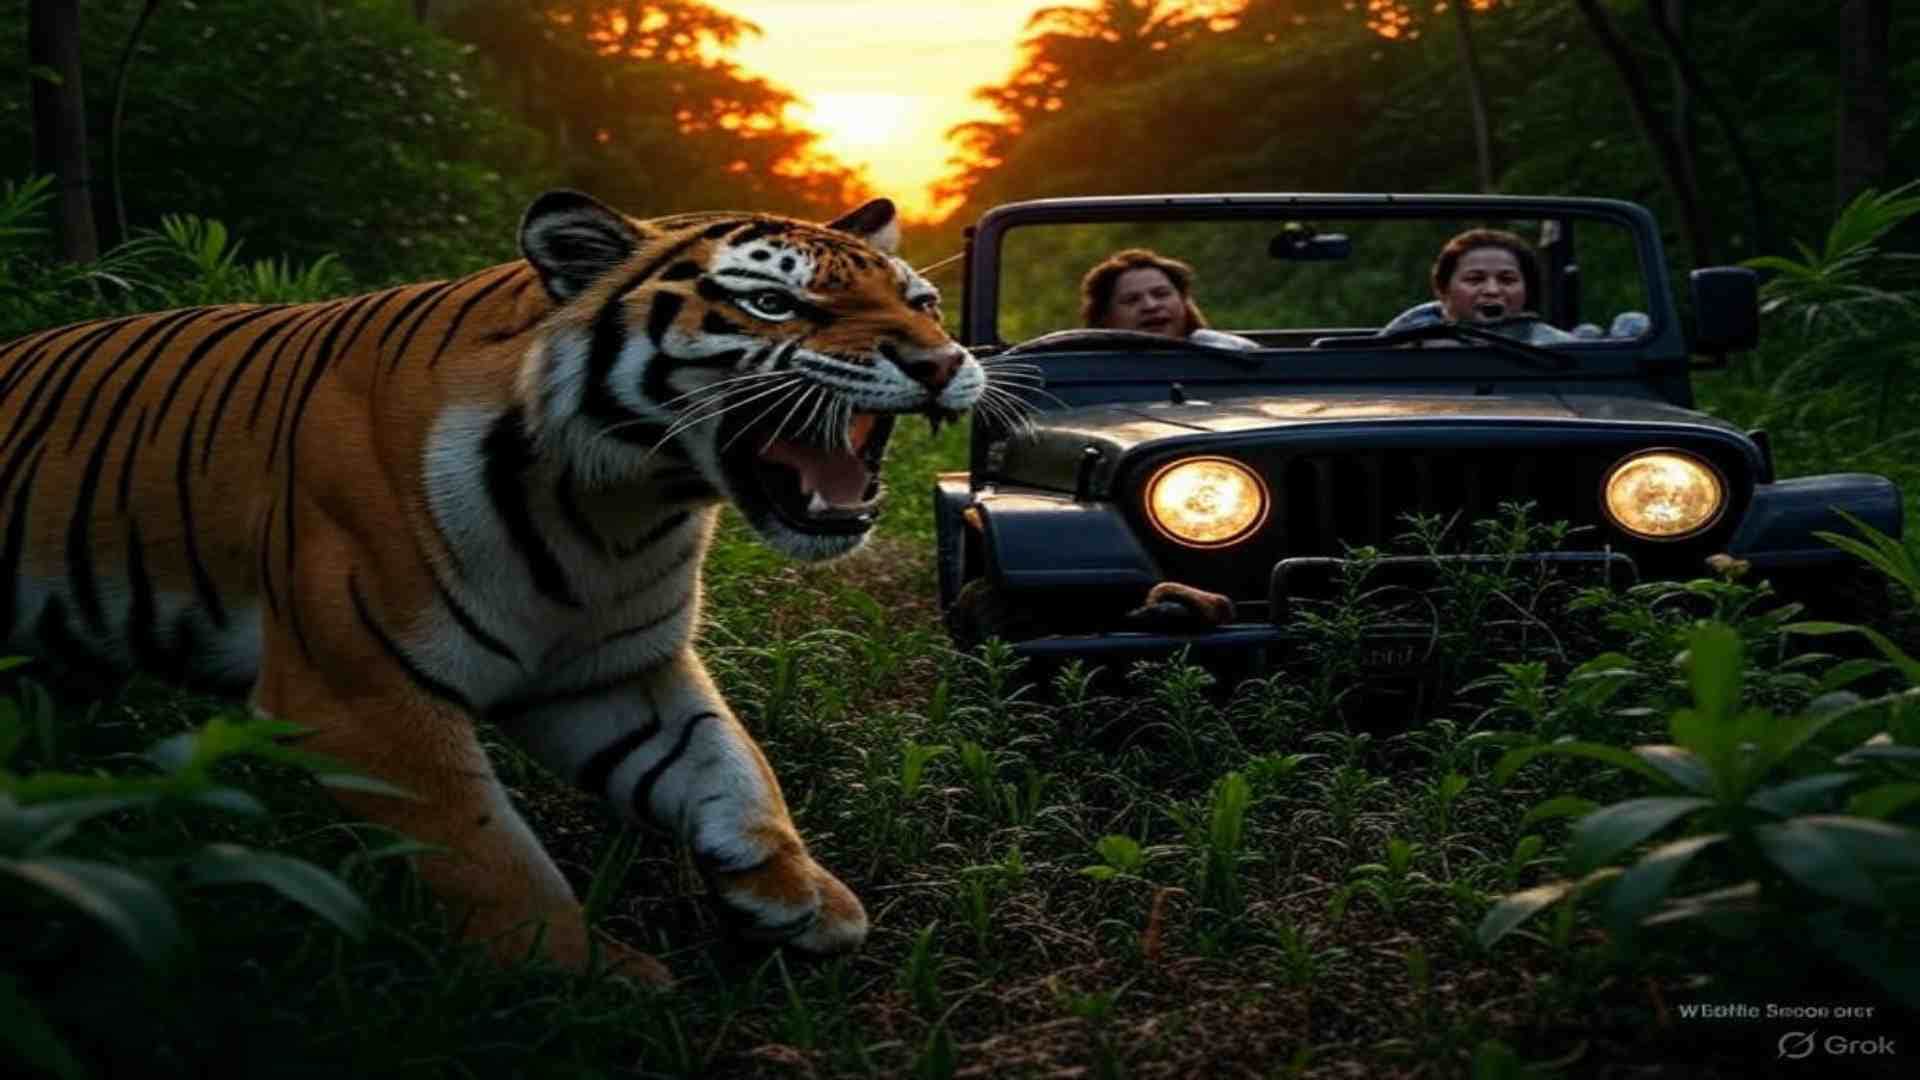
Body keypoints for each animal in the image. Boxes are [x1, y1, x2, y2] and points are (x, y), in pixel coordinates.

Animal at [0, 189, 984, 982]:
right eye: (774, 304)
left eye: (923, 302)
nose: (942, 363)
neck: (621, 508)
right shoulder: (357, 695)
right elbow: (485, 852)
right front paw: (590, 981)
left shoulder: (610, 670)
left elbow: (730, 766)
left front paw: (798, 893)